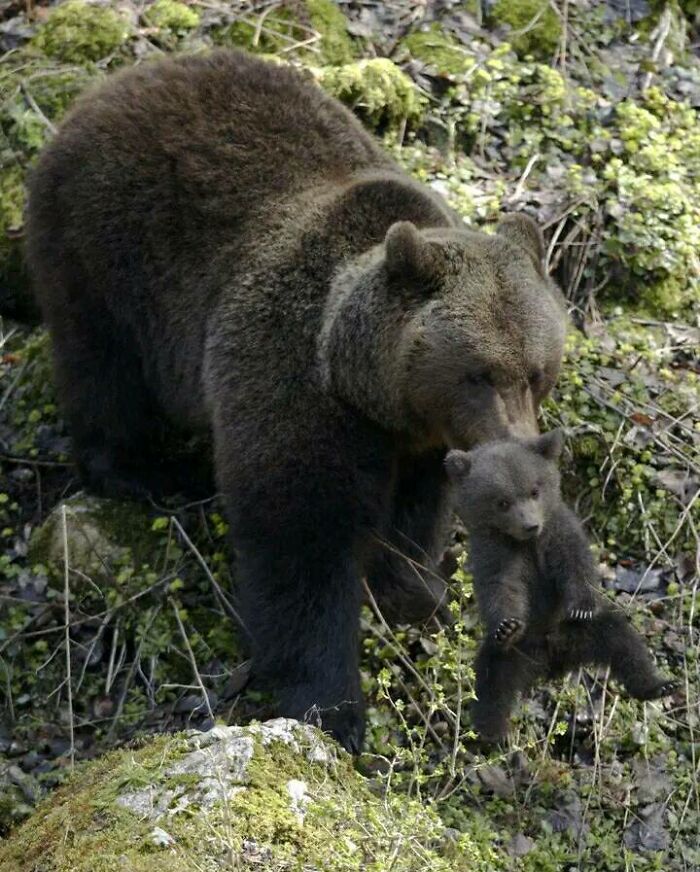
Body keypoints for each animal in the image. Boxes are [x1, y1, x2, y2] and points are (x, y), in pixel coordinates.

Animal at [25, 49, 568, 752]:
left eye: (537, 371)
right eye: (481, 372)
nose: (520, 443)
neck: (366, 387)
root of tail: (111, 83)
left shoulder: (422, 437)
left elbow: (418, 512)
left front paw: (410, 587)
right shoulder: (289, 377)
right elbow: (299, 538)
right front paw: (332, 707)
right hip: (103, 253)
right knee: (104, 373)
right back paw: (151, 470)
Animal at [445, 430, 678, 741]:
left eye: (534, 490)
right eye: (502, 502)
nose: (529, 525)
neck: (528, 544)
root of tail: (553, 660)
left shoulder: (558, 531)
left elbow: (575, 565)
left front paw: (581, 605)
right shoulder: (496, 551)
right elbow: (502, 586)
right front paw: (507, 626)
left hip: (583, 633)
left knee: (624, 643)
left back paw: (658, 685)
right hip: (515, 654)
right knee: (491, 682)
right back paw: (492, 736)